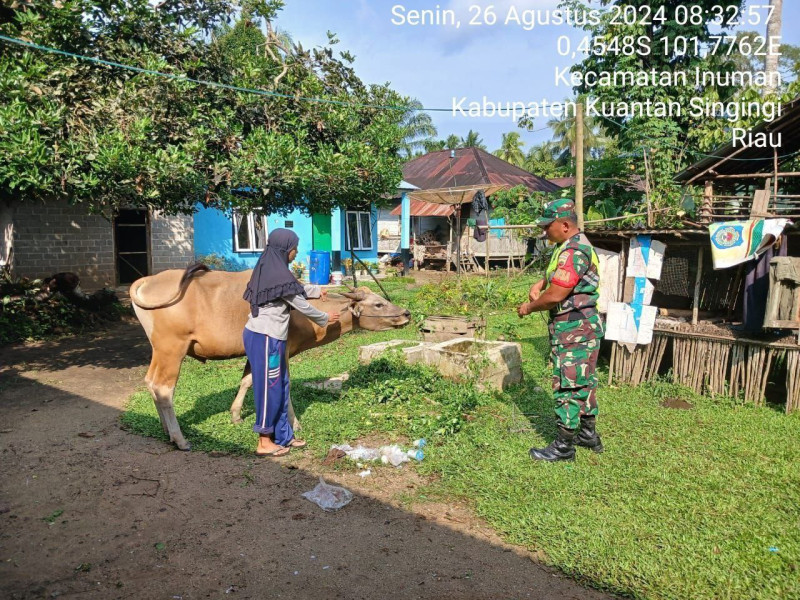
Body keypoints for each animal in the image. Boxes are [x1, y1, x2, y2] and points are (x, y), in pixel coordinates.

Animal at [130, 264, 412, 448]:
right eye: (378, 304)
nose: (406, 313)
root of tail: (147, 281)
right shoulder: (282, 350)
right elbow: (283, 387)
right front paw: (295, 426)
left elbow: (248, 380)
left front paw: (235, 415)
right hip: (172, 348)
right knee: (163, 387)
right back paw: (179, 438)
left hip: (160, 350)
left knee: (150, 382)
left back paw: (166, 430)